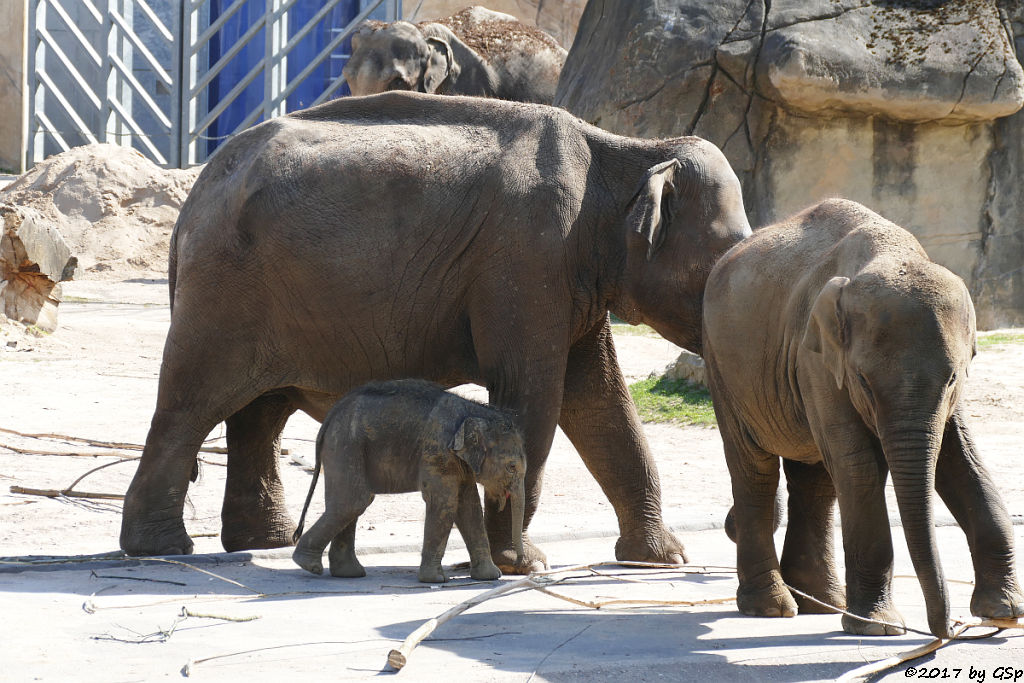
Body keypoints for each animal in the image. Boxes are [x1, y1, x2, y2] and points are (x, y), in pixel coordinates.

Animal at [290, 378, 524, 581]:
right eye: (512, 467)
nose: (520, 563)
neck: (475, 410)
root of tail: (330, 416)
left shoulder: (459, 461)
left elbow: (469, 507)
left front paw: (490, 577)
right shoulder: (437, 450)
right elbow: (445, 503)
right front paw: (436, 580)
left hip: (347, 446)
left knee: (350, 504)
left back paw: (348, 573)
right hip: (346, 445)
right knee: (353, 501)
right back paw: (309, 565)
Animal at [704, 198, 1024, 643]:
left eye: (954, 378)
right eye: (863, 382)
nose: (948, 630)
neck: (894, 252)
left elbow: (961, 460)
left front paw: (1004, 611)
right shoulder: (816, 360)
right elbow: (858, 465)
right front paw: (880, 628)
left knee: (814, 478)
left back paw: (822, 603)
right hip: (723, 370)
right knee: (755, 469)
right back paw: (772, 608)